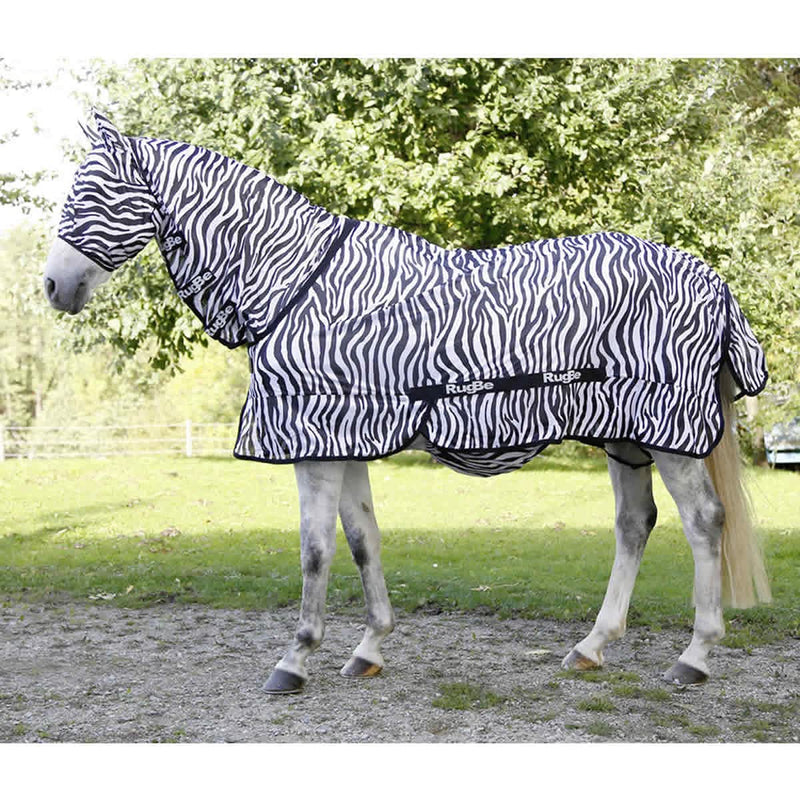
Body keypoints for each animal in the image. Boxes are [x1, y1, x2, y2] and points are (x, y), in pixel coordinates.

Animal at [44, 110, 771, 693]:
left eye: (91, 193)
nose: (53, 286)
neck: (297, 282)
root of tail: (712, 279)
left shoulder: (316, 444)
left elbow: (315, 550)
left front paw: (294, 661)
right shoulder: (342, 438)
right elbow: (363, 541)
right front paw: (368, 648)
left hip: (669, 434)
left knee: (704, 522)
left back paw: (695, 657)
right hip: (627, 436)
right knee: (634, 524)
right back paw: (592, 647)